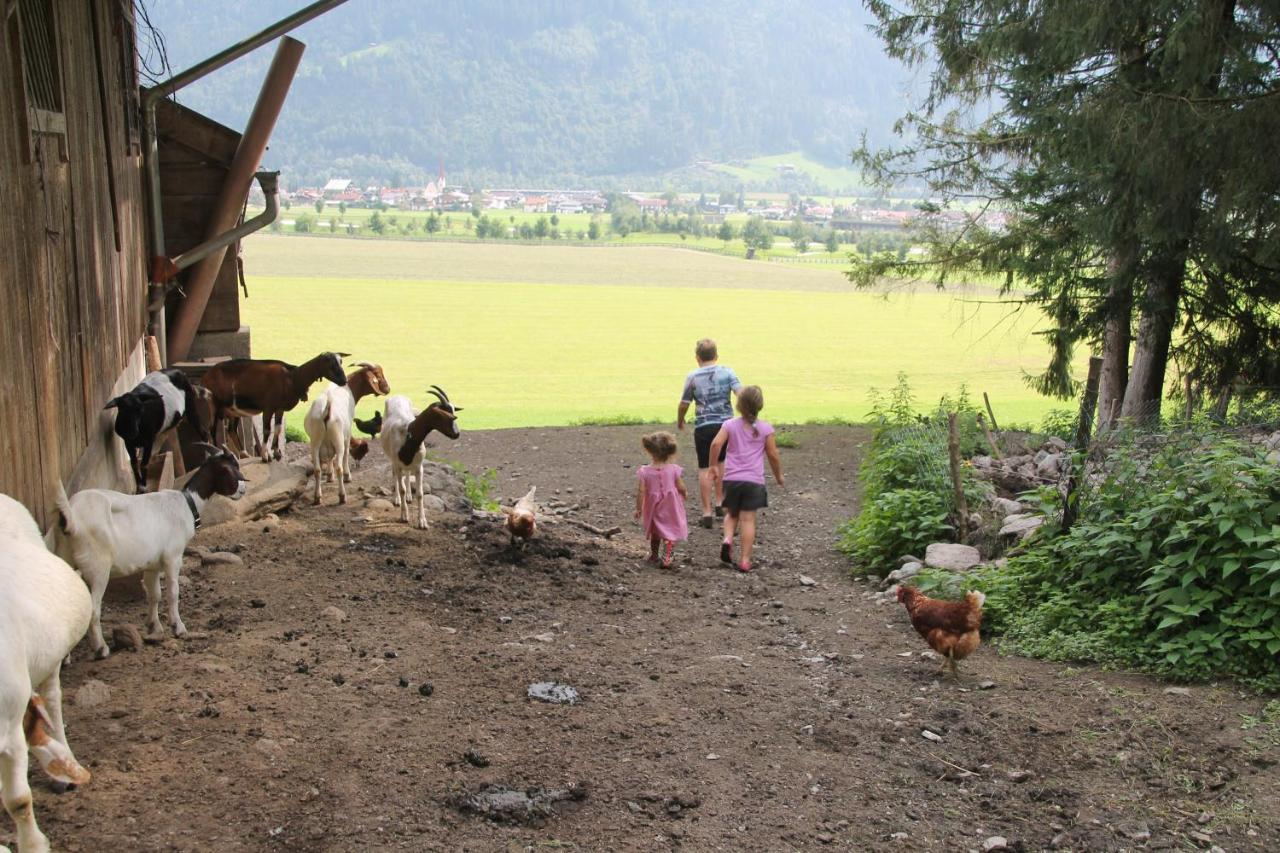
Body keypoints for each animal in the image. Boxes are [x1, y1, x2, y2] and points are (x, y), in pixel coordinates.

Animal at [200, 350, 350, 461]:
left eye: (341, 362)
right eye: (330, 364)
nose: (344, 380)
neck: (293, 378)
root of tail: (206, 377)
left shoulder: (280, 409)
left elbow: (277, 428)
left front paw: (277, 452)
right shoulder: (268, 407)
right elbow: (267, 430)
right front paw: (265, 456)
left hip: (233, 410)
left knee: (231, 430)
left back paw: (244, 454)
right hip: (213, 405)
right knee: (212, 430)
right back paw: (219, 453)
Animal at [378, 384, 465, 525]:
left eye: (454, 412)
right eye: (444, 416)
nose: (456, 434)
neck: (408, 435)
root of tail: (398, 396)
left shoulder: (419, 467)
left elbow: (420, 493)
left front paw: (422, 521)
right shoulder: (398, 464)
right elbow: (401, 488)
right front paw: (404, 516)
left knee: (407, 474)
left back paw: (409, 496)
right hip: (392, 459)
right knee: (395, 475)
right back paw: (397, 499)